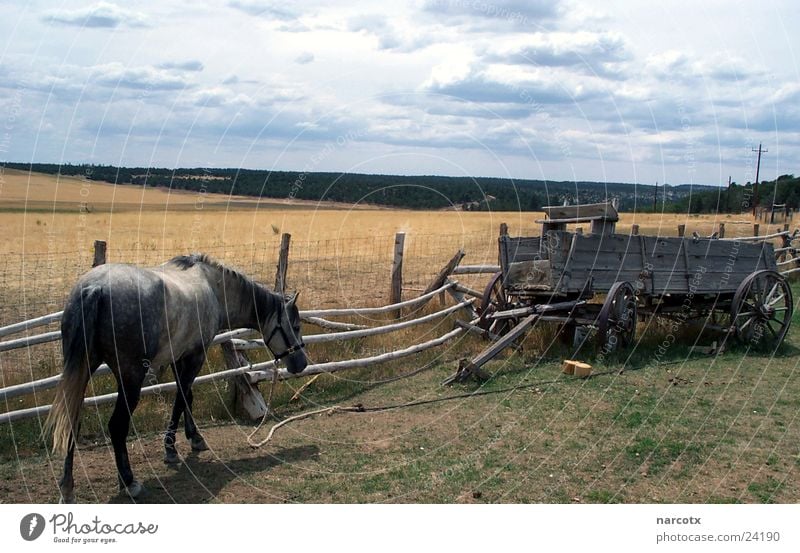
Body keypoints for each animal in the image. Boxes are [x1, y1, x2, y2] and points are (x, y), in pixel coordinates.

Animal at [43, 252, 308, 502]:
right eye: (295, 326)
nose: (301, 363)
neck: (212, 287)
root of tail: (93, 288)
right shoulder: (196, 356)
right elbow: (181, 400)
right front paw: (172, 449)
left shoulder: (178, 357)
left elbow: (186, 397)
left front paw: (193, 437)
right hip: (130, 378)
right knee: (117, 426)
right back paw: (129, 482)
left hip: (83, 370)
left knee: (72, 422)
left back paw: (68, 488)